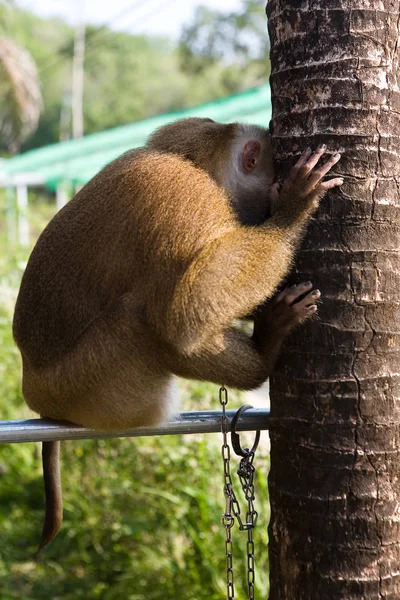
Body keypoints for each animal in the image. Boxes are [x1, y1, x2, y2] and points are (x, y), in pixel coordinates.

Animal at [12, 118, 344, 552]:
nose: (269, 205)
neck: (196, 160)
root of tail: (34, 391)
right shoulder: (188, 194)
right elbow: (193, 304)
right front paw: (291, 211)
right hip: (94, 386)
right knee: (152, 318)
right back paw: (264, 352)